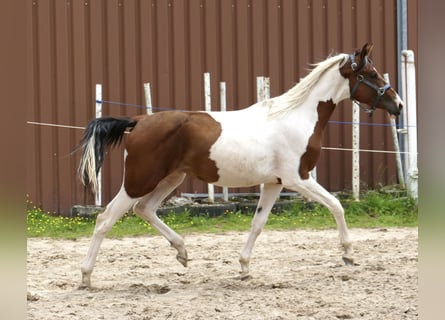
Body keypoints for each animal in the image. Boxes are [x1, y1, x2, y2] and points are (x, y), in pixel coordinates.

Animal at [77, 43, 402, 288]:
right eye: (372, 74)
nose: (398, 105)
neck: (296, 117)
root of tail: (139, 121)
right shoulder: (298, 178)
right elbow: (337, 205)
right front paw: (348, 254)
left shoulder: (274, 183)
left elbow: (258, 224)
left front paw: (244, 268)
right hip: (140, 180)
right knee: (106, 218)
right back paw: (86, 277)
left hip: (171, 179)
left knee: (145, 209)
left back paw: (182, 252)